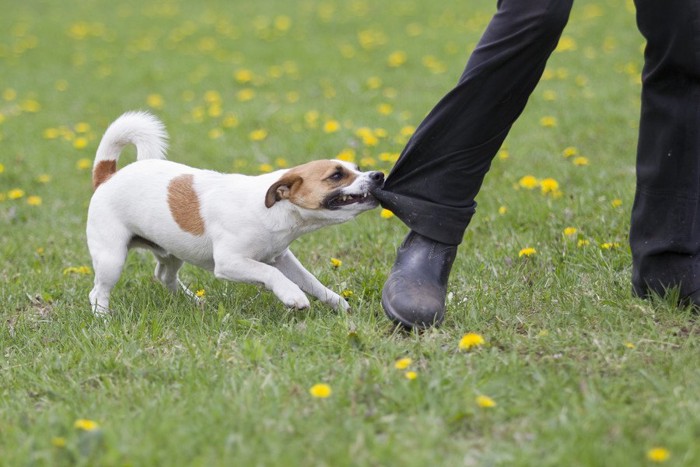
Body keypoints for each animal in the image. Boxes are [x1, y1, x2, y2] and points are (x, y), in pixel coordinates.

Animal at [87, 112, 386, 316]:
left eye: (357, 168)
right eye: (336, 175)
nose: (378, 175)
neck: (273, 210)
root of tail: (107, 176)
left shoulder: (282, 258)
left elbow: (311, 281)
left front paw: (337, 302)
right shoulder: (231, 262)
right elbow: (270, 273)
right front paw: (292, 296)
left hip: (171, 252)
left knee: (164, 277)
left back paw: (193, 302)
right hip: (112, 258)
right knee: (97, 292)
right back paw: (103, 318)